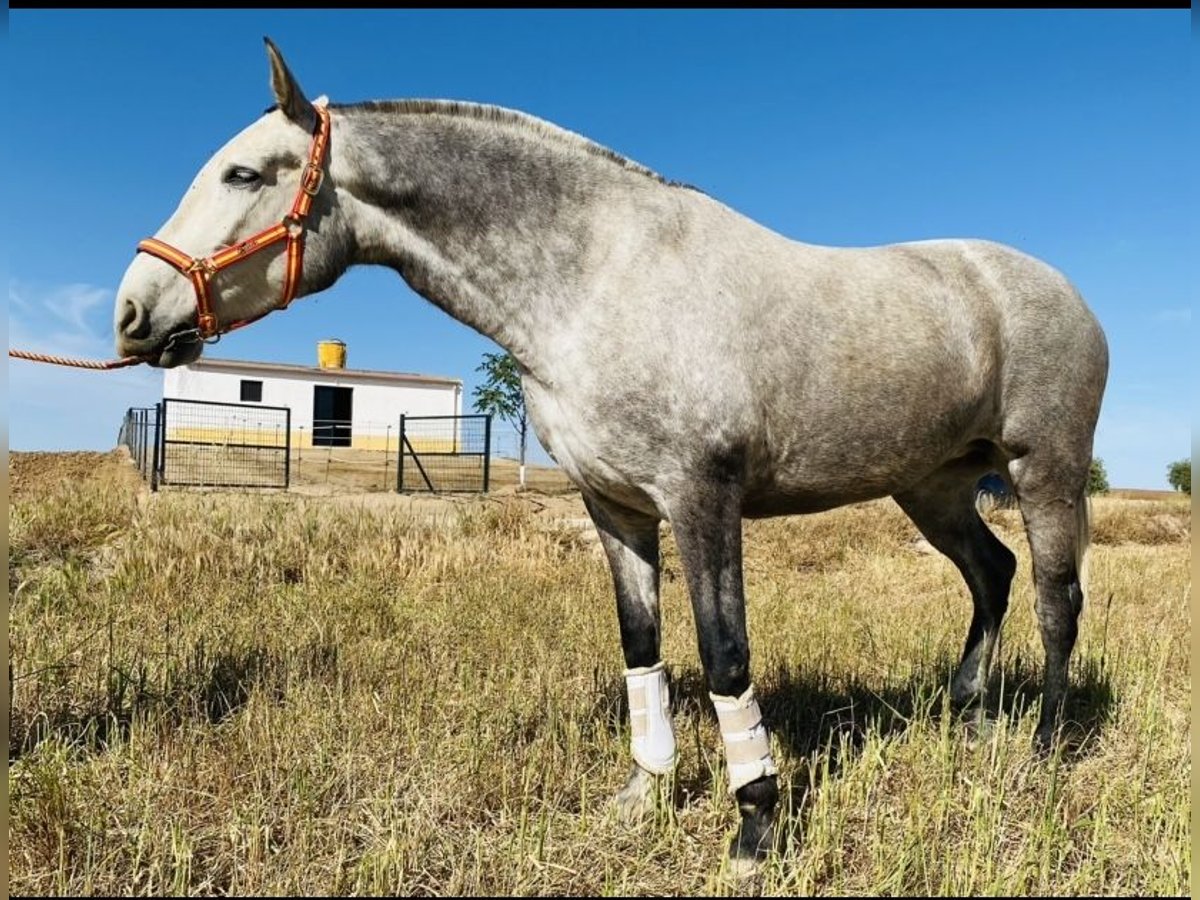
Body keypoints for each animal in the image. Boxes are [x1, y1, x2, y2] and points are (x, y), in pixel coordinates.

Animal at [110, 40, 1104, 873]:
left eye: (244, 172)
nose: (132, 312)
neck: (595, 280)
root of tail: (1067, 293)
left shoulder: (701, 498)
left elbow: (725, 655)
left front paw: (754, 824)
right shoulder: (615, 505)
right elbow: (643, 645)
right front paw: (645, 793)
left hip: (1044, 471)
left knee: (1056, 600)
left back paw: (1044, 749)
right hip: (930, 488)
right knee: (991, 573)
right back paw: (969, 712)